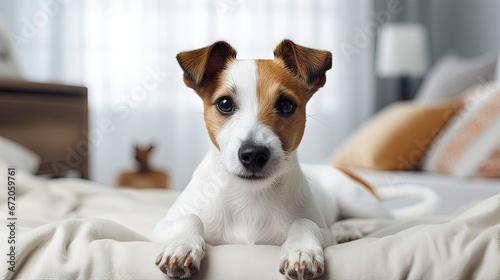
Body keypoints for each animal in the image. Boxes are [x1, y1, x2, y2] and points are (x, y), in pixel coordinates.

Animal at [152, 40, 434, 280]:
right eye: (224, 104)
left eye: (286, 105)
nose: (253, 154)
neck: (249, 195)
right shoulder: (161, 226)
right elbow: (189, 218)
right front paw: (181, 246)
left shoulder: (320, 229)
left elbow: (304, 222)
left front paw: (301, 250)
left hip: (355, 199)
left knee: (386, 220)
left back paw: (346, 229)